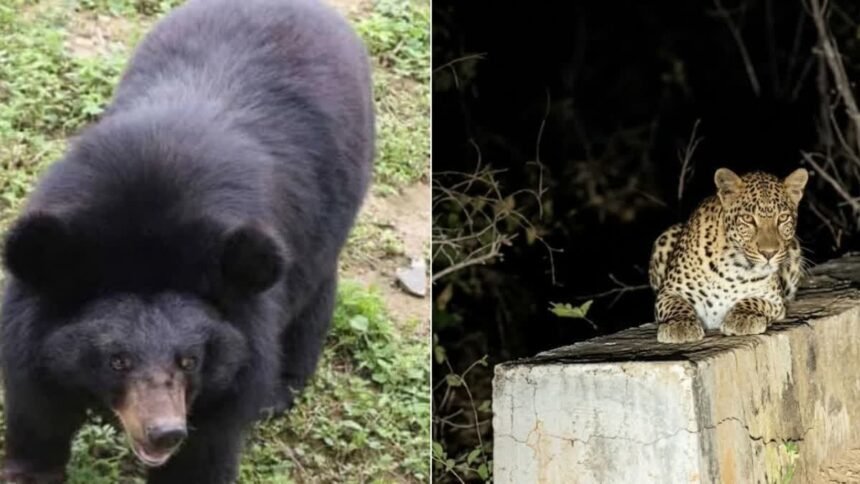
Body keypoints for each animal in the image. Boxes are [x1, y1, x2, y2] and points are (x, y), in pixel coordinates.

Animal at [0, 0, 374, 482]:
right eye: (117, 360)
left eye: (189, 360)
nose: (165, 433)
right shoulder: (32, 341)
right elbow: (38, 419)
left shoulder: (237, 358)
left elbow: (205, 452)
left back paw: (280, 390)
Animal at [649, 167, 808, 343]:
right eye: (747, 219)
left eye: (783, 218)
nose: (769, 253)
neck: (733, 267)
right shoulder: (669, 291)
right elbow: (676, 305)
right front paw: (680, 325)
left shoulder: (774, 300)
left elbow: (753, 301)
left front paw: (743, 317)